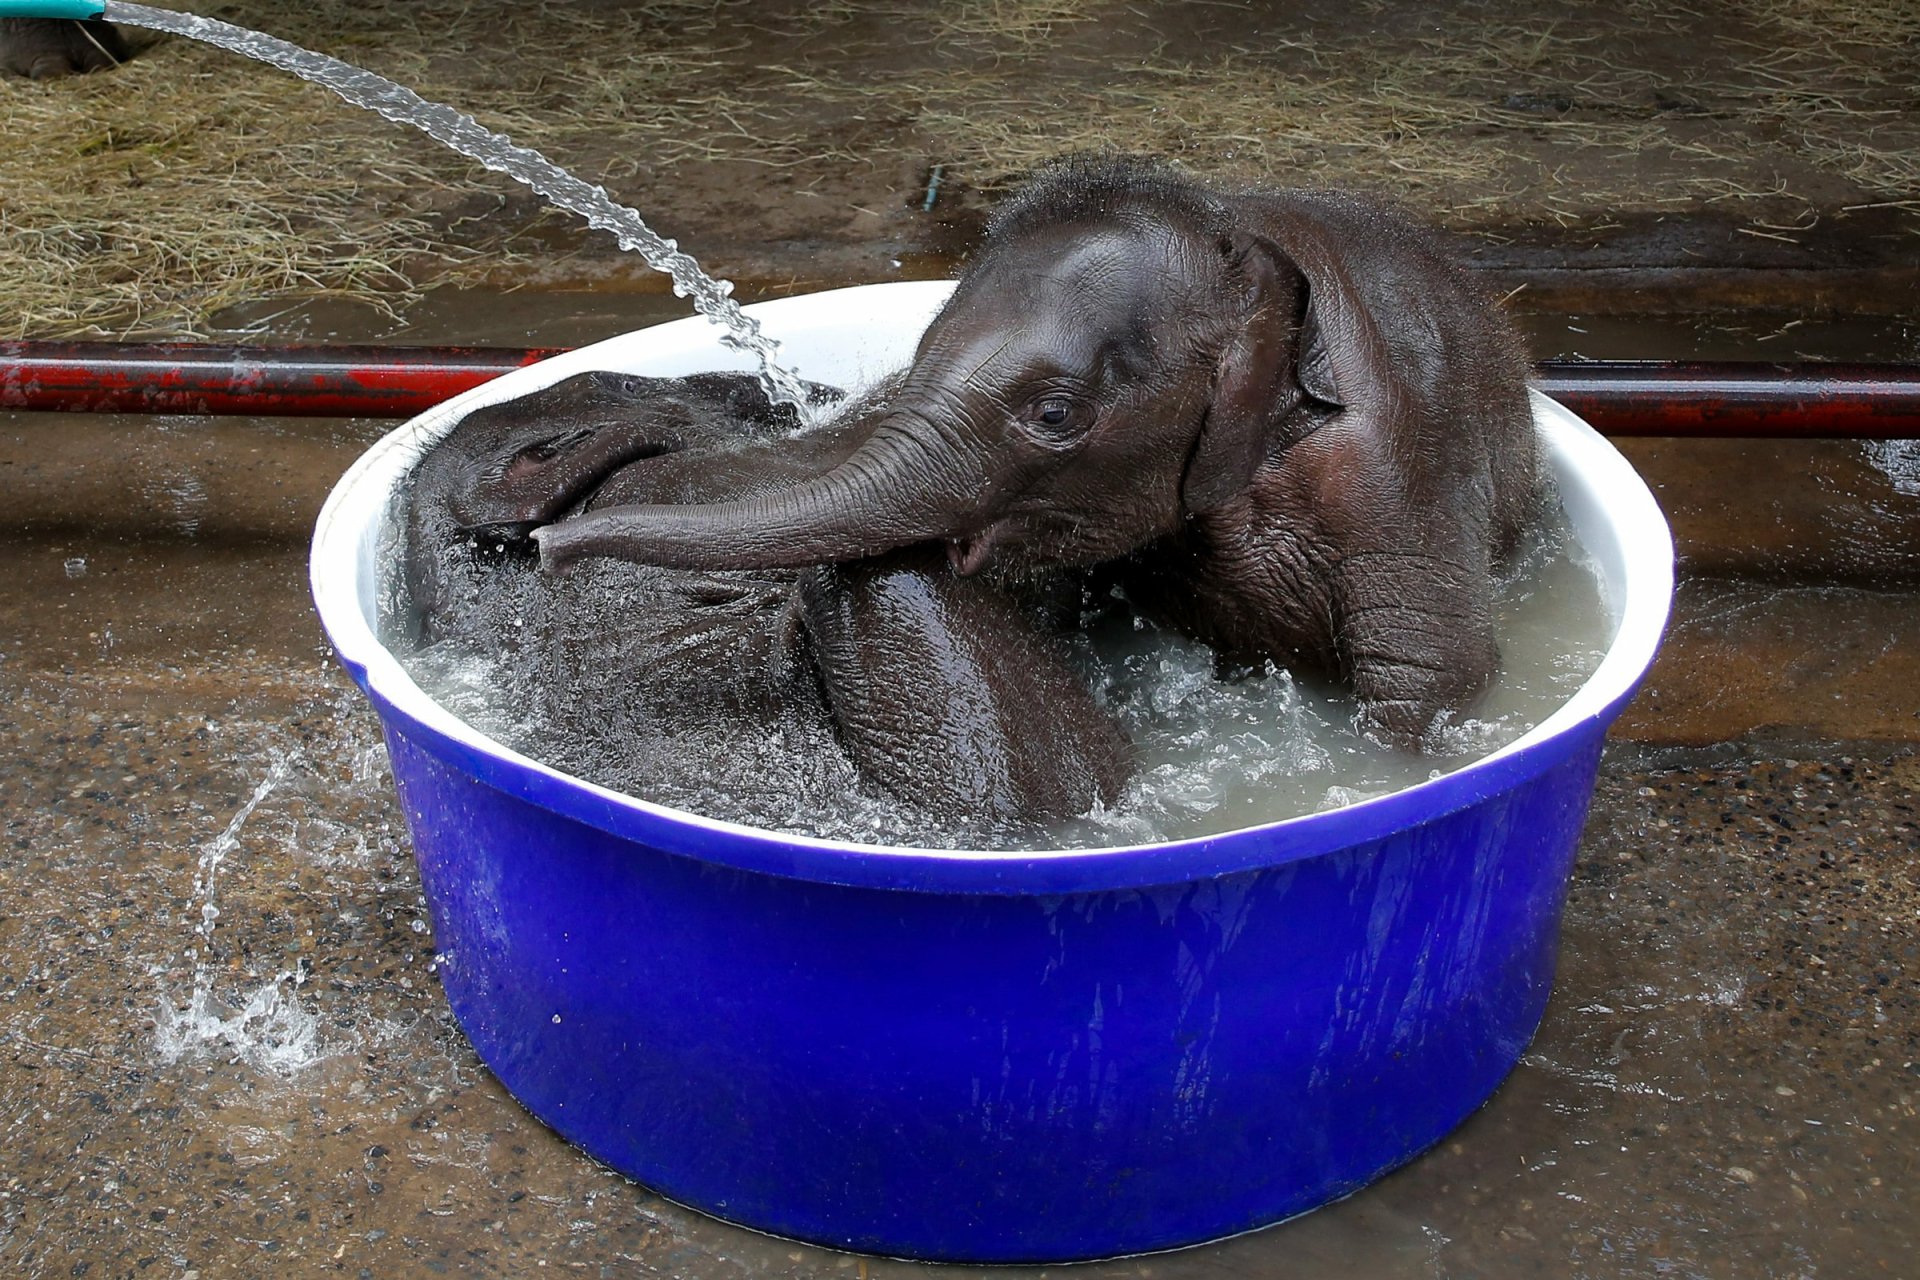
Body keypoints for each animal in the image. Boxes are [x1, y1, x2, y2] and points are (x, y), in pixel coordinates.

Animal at [532, 153, 1544, 751]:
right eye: (917, 353)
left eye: (1056, 414)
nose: (549, 543)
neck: (1238, 240)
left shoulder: (1392, 473)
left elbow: (1434, 679)